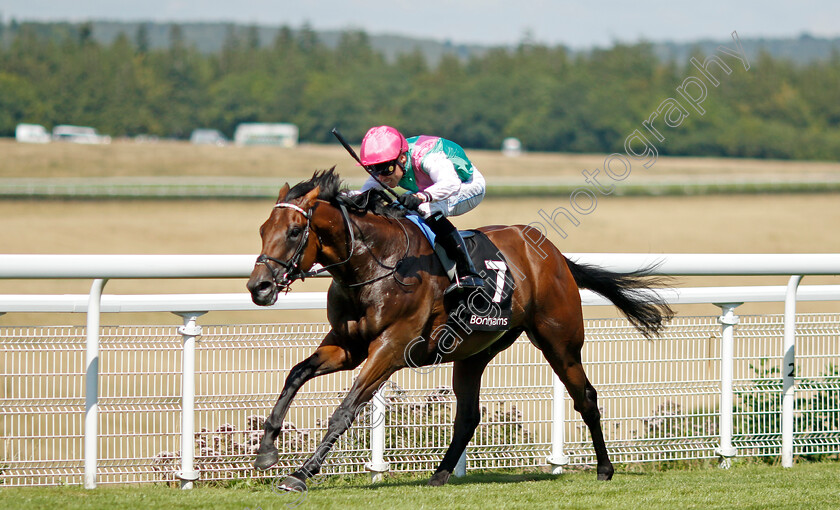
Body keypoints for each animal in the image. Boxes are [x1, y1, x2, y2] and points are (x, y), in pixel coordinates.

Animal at [246, 170, 672, 490]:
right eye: (263, 228)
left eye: (295, 231)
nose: (258, 287)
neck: (372, 265)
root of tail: (553, 254)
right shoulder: (347, 347)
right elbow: (296, 374)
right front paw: (266, 451)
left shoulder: (391, 348)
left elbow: (345, 410)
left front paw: (301, 474)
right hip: (474, 351)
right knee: (468, 415)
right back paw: (439, 474)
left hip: (560, 341)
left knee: (586, 397)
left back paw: (604, 468)